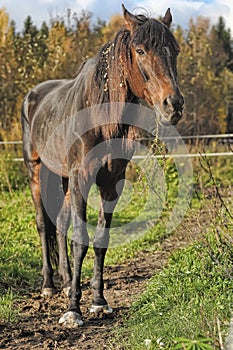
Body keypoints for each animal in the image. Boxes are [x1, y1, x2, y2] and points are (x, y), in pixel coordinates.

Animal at [20, 4, 184, 326]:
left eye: (176, 50)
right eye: (140, 50)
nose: (173, 105)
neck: (101, 116)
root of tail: (33, 96)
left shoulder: (111, 182)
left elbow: (100, 239)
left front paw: (98, 301)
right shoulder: (81, 177)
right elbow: (81, 240)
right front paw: (73, 310)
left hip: (62, 177)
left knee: (60, 223)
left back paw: (67, 280)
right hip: (36, 171)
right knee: (44, 224)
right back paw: (49, 285)